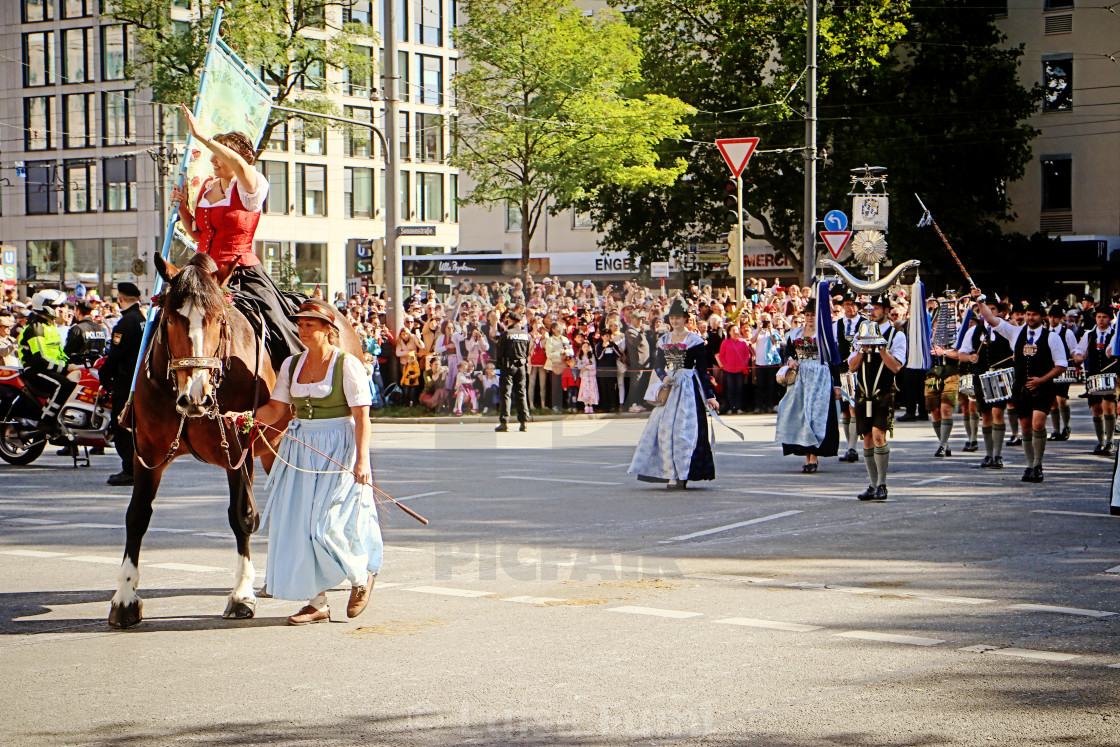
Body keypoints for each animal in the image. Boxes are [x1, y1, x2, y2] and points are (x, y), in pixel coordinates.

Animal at [109, 254, 362, 627]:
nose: (195, 396)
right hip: (275, 448)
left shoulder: (238, 451)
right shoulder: (149, 453)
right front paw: (125, 597)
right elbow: (137, 516)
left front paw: (242, 595)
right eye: (169, 318)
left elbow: (242, 516)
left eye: (219, 319)